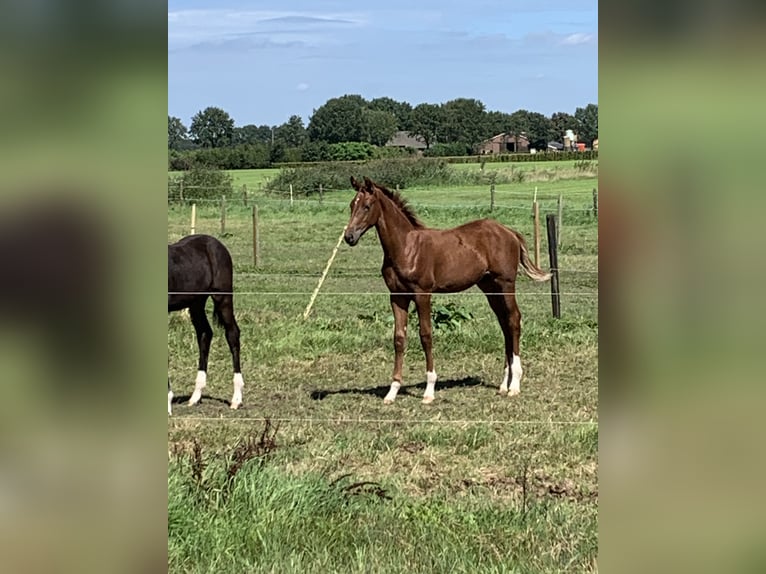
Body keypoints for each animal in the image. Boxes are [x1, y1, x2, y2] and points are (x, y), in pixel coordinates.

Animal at [170, 236, 244, 416]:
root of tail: (216, 243)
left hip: (223, 297)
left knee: (232, 334)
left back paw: (236, 399)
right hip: (196, 302)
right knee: (205, 333)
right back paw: (196, 396)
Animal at [346, 177, 552, 404]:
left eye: (367, 206)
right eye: (351, 205)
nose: (349, 237)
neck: (406, 247)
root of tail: (509, 232)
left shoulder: (422, 293)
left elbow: (425, 335)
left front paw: (429, 391)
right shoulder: (397, 296)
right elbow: (399, 338)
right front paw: (392, 392)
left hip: (505, 284)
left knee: (514, 320)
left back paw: (515, 384)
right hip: (490, 287)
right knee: (504, 322)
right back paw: (503, 385)